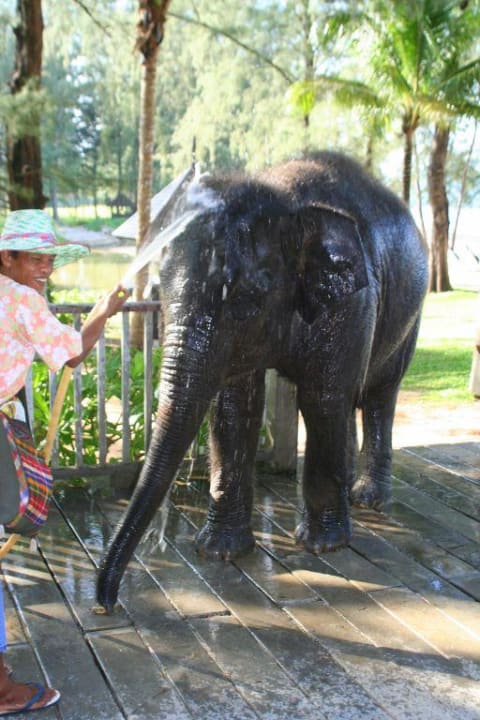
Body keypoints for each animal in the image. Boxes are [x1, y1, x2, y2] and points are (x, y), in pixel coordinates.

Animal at [97, 150, 429, 612]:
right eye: (160, 294)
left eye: (245, 300)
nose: (106, 602)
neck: (282, 193)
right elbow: (235, 406)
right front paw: (219, 552)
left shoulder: (351, 300)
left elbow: (322, 397)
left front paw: (322, 547)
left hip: (411, 311)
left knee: (377, 394)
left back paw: (367, 499)